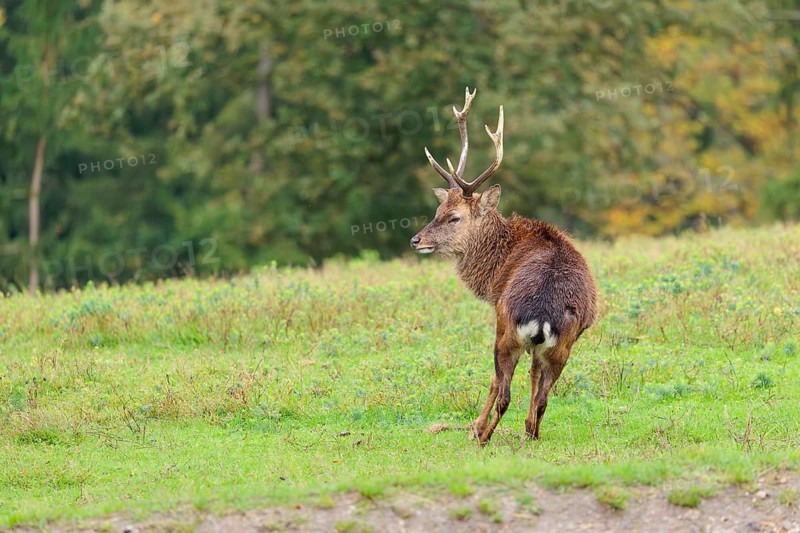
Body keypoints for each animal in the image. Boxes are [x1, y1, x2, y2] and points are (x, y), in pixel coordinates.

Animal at [410, 87, 598, 446]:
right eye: (438, 209)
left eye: (454, 217)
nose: (416, 240)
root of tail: (542, 315)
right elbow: (535, 382)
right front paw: (528, 431)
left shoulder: (496, 313)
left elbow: (495, 382)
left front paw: (473, 428)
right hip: (563, 346)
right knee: (543, 395)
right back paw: (531, 434)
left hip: (507, 331)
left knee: (504, 390)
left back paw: (483, 436)